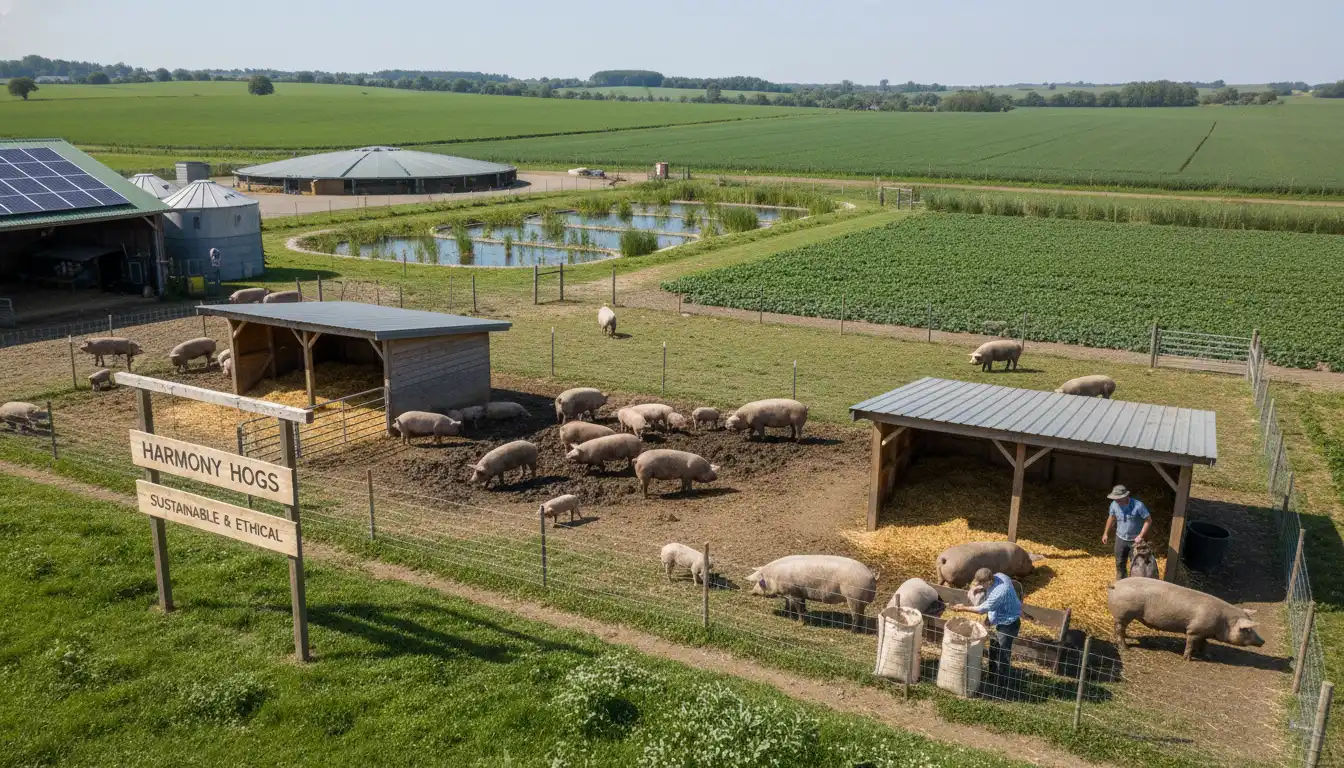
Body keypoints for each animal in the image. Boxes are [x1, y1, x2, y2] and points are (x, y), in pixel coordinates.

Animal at [748, 555, 877, 632]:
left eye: (760, 582)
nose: (751, 592)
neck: (775, 577)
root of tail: (872, 576)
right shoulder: (795, 593)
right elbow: (790, 605)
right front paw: (786, 614)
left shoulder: (795, 593)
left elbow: (799, 608)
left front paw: (800, 622)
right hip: (859, 601)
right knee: (861, 615)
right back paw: (858, 630)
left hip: (853, 598)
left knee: (856, 616)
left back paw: (851, 631)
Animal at [1108, 577, 1265, 661]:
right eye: (1247, 629)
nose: (1263, 641)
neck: (1222, 623)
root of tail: (1115, 584)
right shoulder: (1194, 630)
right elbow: (1190, 643)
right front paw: (1187, 659)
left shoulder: (1204, 632)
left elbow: (1204, 644)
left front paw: (1208, 656)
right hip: (1124, 613)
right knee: (1119, 630)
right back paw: (1126, 648)